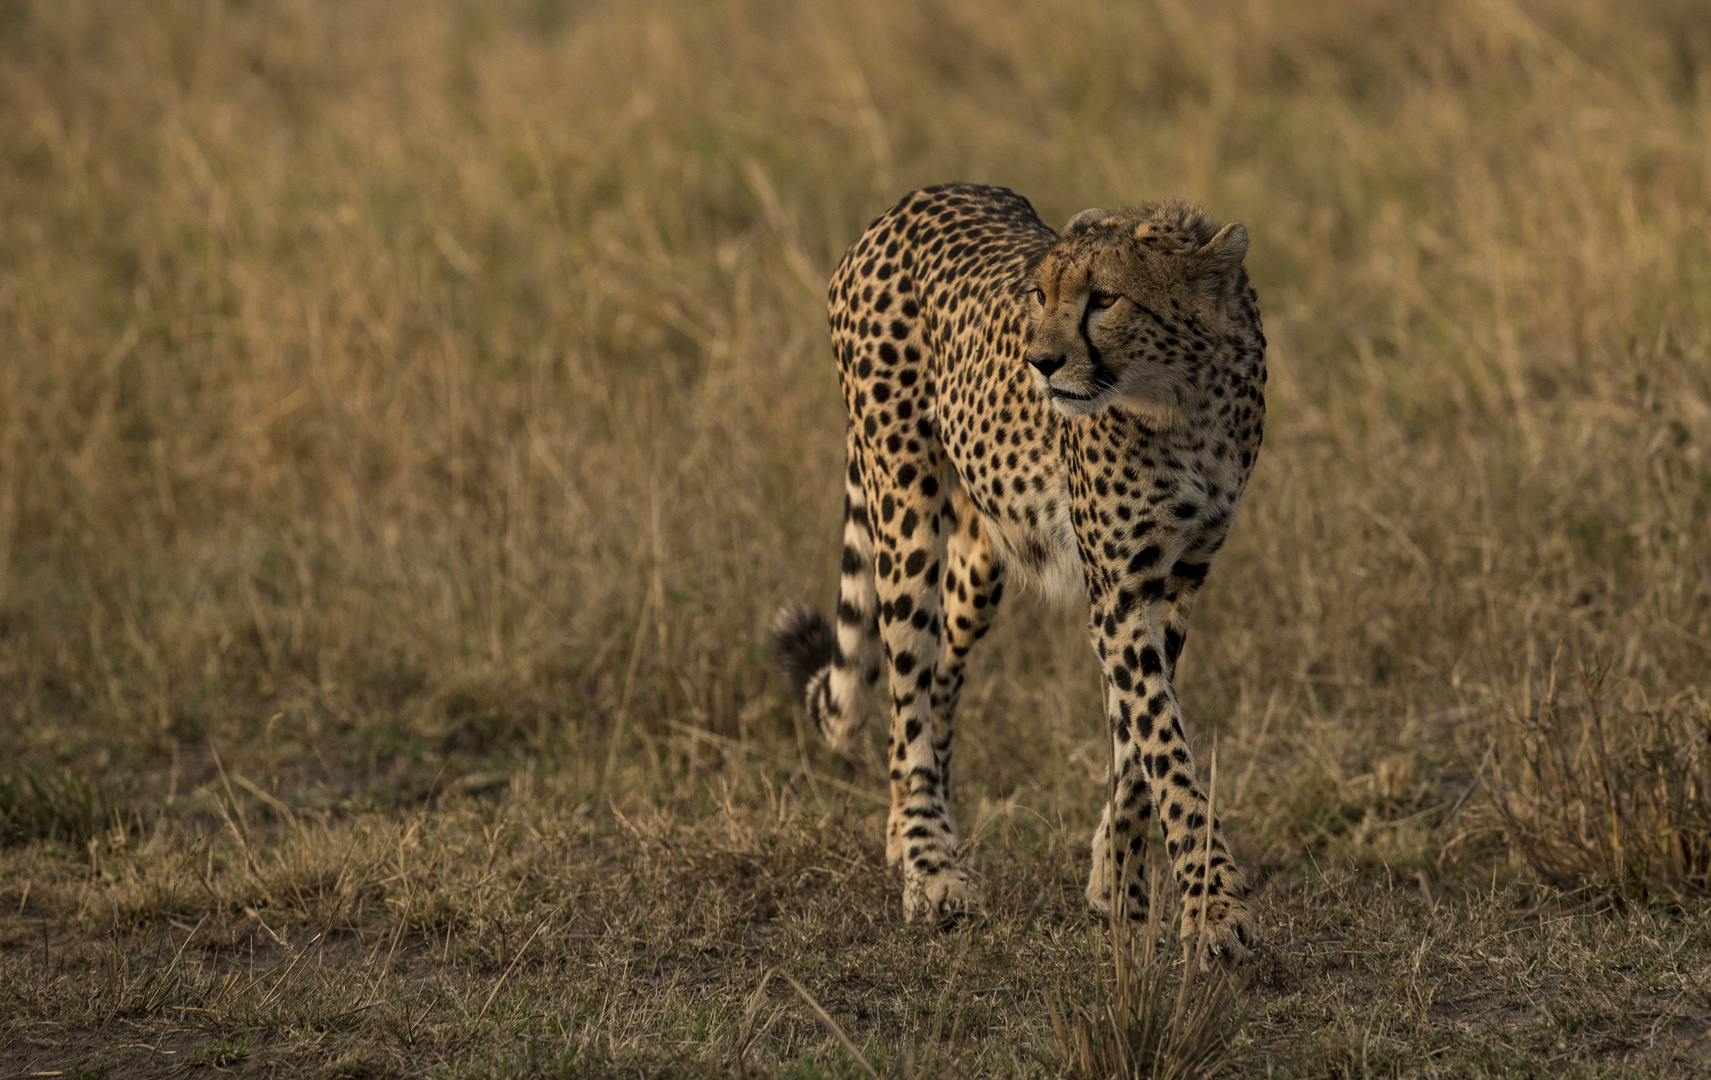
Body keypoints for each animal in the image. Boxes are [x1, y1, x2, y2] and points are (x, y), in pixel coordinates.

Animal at [769, 181, 1266, 958]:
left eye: (1104, 298)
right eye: (1039, 293)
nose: (1039, 364)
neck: (1181, 401)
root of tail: (913, 198)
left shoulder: (1176, 581)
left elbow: (1138, 745)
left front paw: (1117, 881)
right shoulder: (1118, 593)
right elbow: (1164, 746)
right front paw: (1214, 908)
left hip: (983, 553)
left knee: (939, 675)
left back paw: (907, 831)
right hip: (904, 506)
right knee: (905, 683)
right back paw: (930, 865)